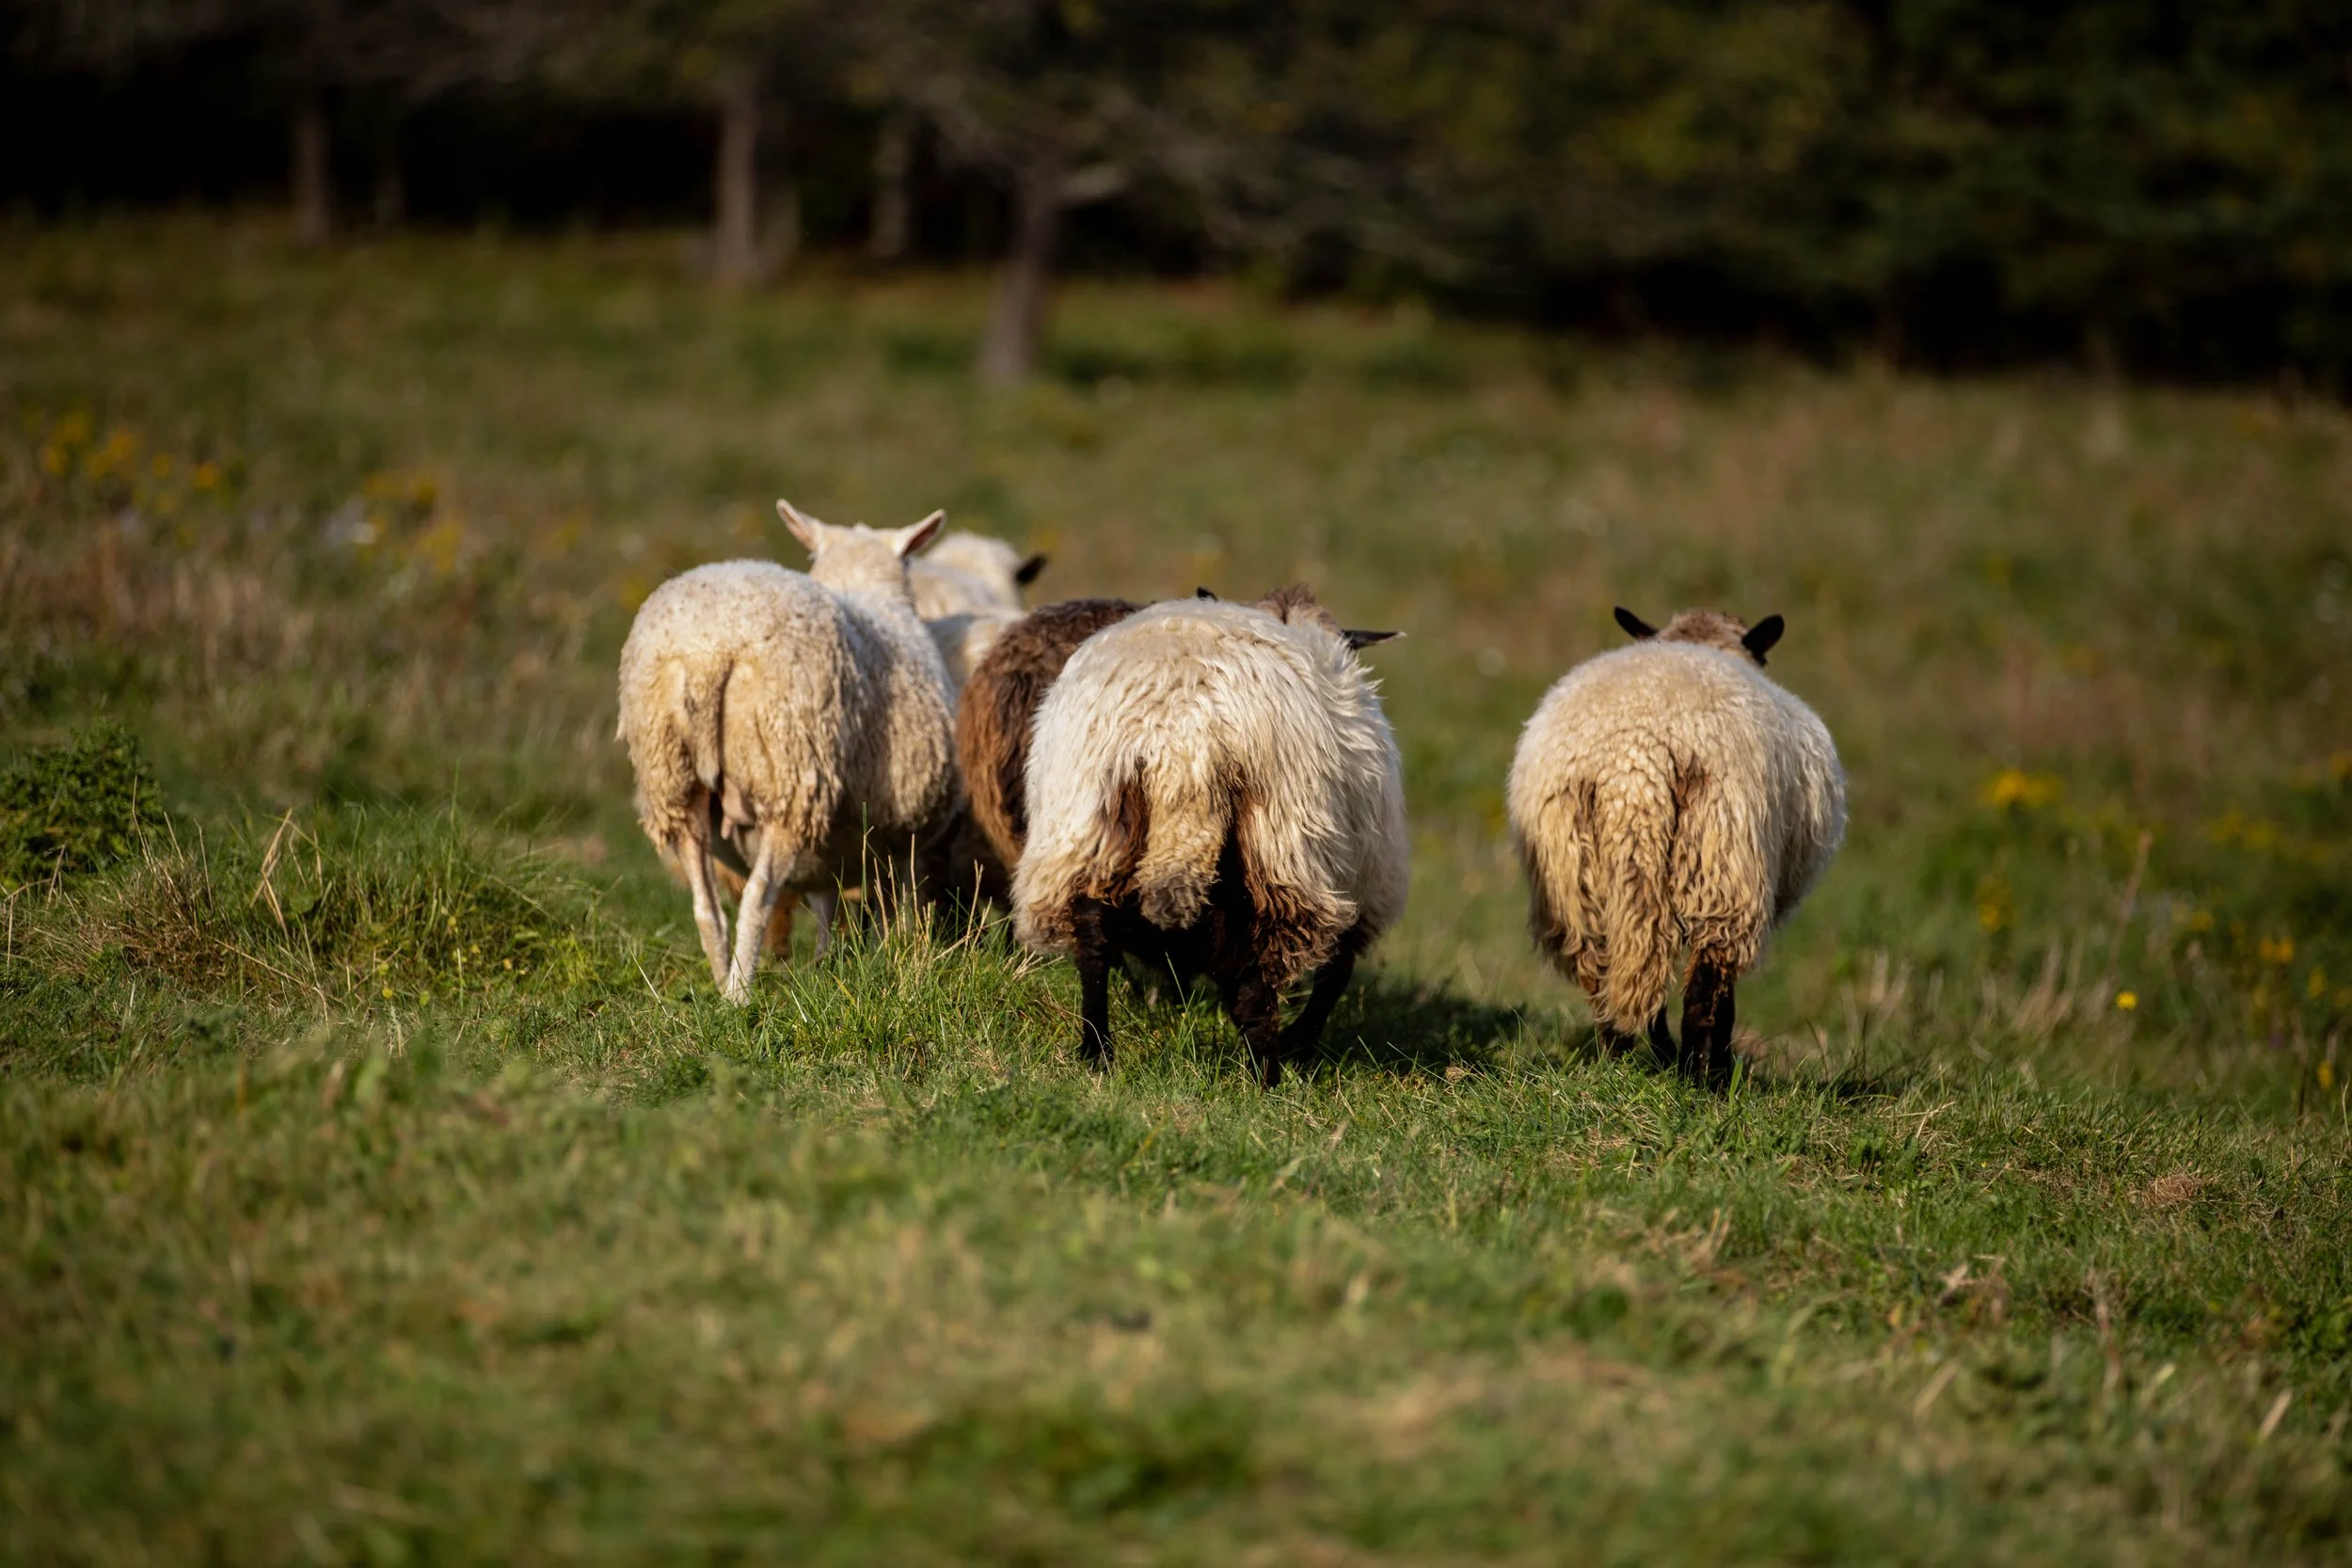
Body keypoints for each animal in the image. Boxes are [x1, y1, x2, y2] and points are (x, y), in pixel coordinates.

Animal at [616, 501, 956, 1001]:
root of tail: (707, 653)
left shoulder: (836, 841)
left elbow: (825, 897)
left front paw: (827, 963)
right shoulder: (902, 835)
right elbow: (886, 908)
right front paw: (891, 957)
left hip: (672, 773)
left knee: (705, 904)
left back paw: (721, 983)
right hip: (789, 772)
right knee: (758, 896)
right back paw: (739, 995)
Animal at [1011, 586, 1406, 1085]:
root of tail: (1177, 741)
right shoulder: (1364, 886)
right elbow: (1334, 978)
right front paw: (1300, 1047)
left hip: (1084, 830)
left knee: (1094, 940)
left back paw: (1096, 1051)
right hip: (1274, 856)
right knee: (1252, 987)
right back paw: (1268, 1079)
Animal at [1505, 606, 1845, 1082]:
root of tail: (1631, 761)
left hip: (1573, 875)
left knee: (1612, 974)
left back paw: (1627, 1057)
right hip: (1722, 857)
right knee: (1708, 984)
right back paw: (1702, 1076)